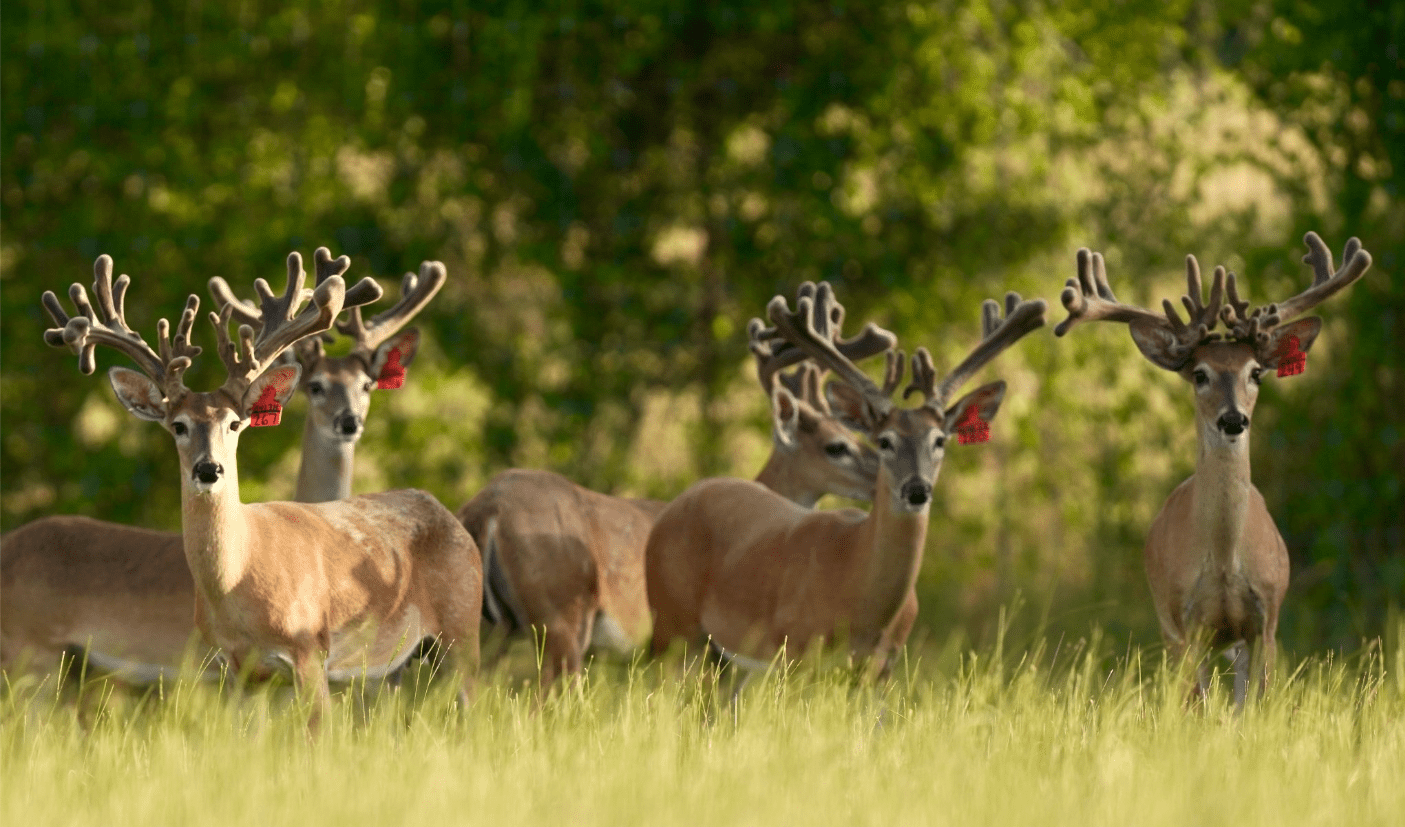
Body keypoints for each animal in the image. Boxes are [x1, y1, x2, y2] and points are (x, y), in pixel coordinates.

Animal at [33, 251, 482, 728]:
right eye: (178, 425)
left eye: (234, 423)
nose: (208, 468)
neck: (239, 577)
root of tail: (445, 511)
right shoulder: (238, 669)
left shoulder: (310, 648)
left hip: (462, 629)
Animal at [459, 314, 894, 686]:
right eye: (836, 446)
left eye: (854, 433)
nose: (883, 479)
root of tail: (487, 507)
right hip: (561, 616)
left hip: (490, 624)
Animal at [644, 281, 1047, 679]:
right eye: (884, 441)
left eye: (939, 440)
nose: (917, 490)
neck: (859, 597)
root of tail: (682, 499)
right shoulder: (795, 650)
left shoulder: (882, 667)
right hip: (672, 623)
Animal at [1052, 232, 1371, 708]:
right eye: (1199, 374)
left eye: (1256, 372)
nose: (1234, 419)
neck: (1223, 561)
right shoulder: (1184, 621)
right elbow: (1197, 705)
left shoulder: (1267, 618)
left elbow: (1255, 705)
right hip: (1167, 622)